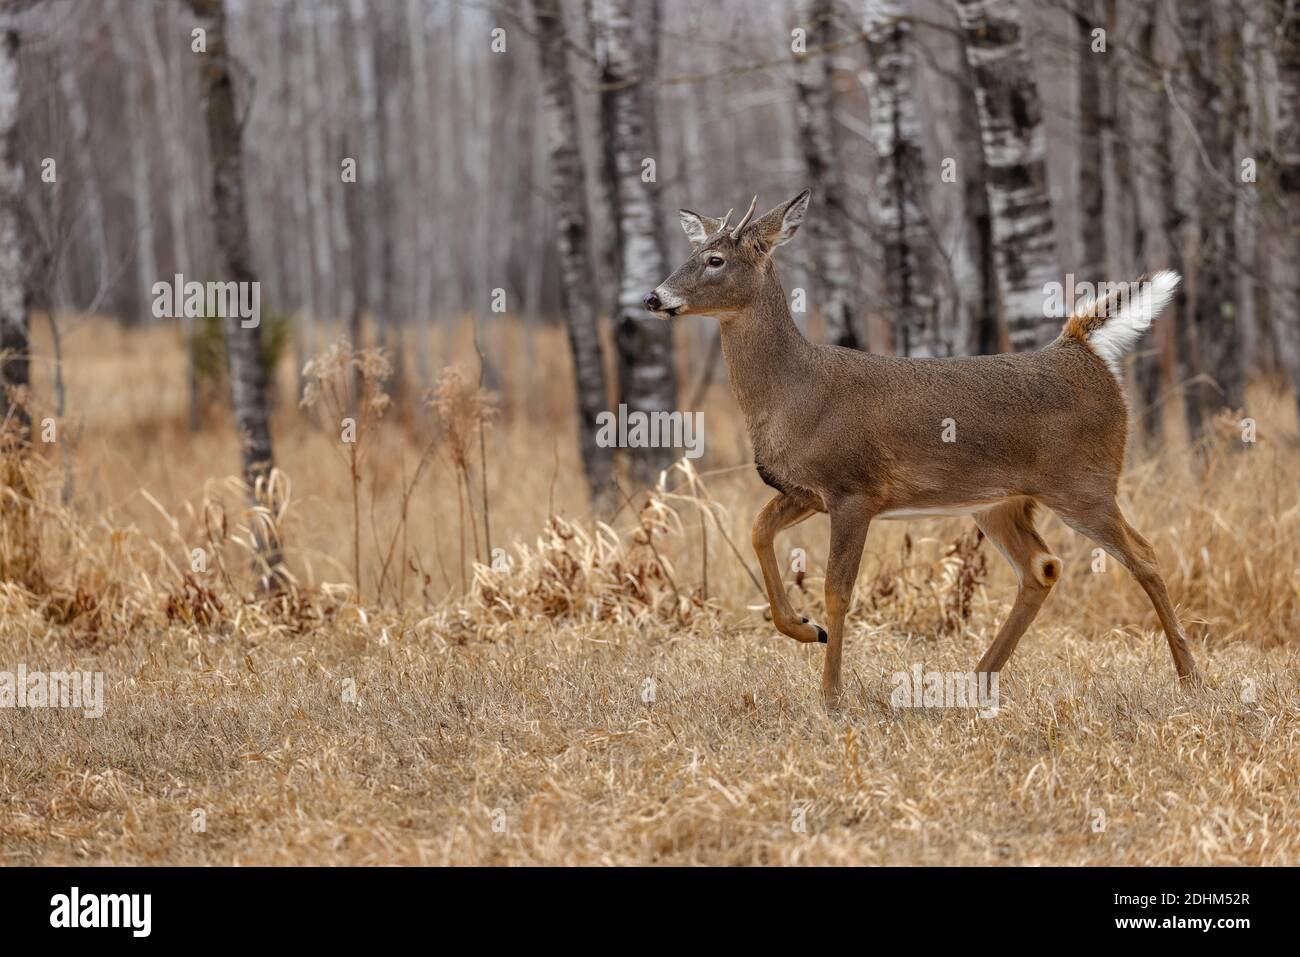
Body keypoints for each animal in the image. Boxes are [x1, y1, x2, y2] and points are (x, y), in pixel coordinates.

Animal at [644, 191, 1201, 707]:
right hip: (1000, 503)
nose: (653, 297)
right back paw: (977, 680)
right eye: (696, 250)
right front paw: (803, 628)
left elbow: (837, 590)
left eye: (716, 260)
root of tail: (1082, 351)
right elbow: (758, 532)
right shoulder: (806, 492)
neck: (794, 392)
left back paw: (1190, 677)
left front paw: (831, 694)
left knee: (1144, 555)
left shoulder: (855, 489)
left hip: (1084, 483)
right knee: (1042, 567)